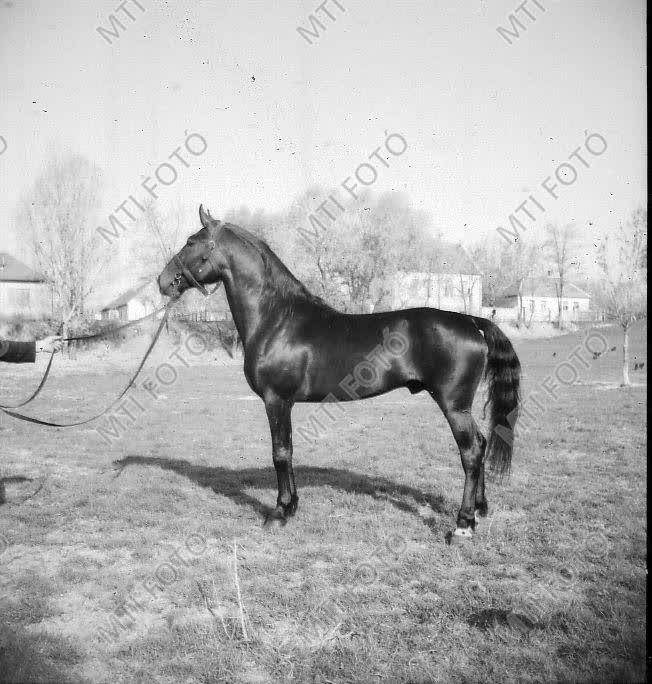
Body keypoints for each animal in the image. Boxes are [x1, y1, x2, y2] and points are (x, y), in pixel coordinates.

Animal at [157, 206, 520, 544]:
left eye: (191, 242)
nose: (163, 281)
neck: (277, 318)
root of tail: (472, 321)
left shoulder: (276, 400)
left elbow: (279, 453)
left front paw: (278, 513)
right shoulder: (285, 403)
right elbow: (289, 450)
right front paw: (292, 506)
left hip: (454, 405)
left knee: (471, 451)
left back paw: (463, 525)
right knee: (481, 444)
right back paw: (480, 511)